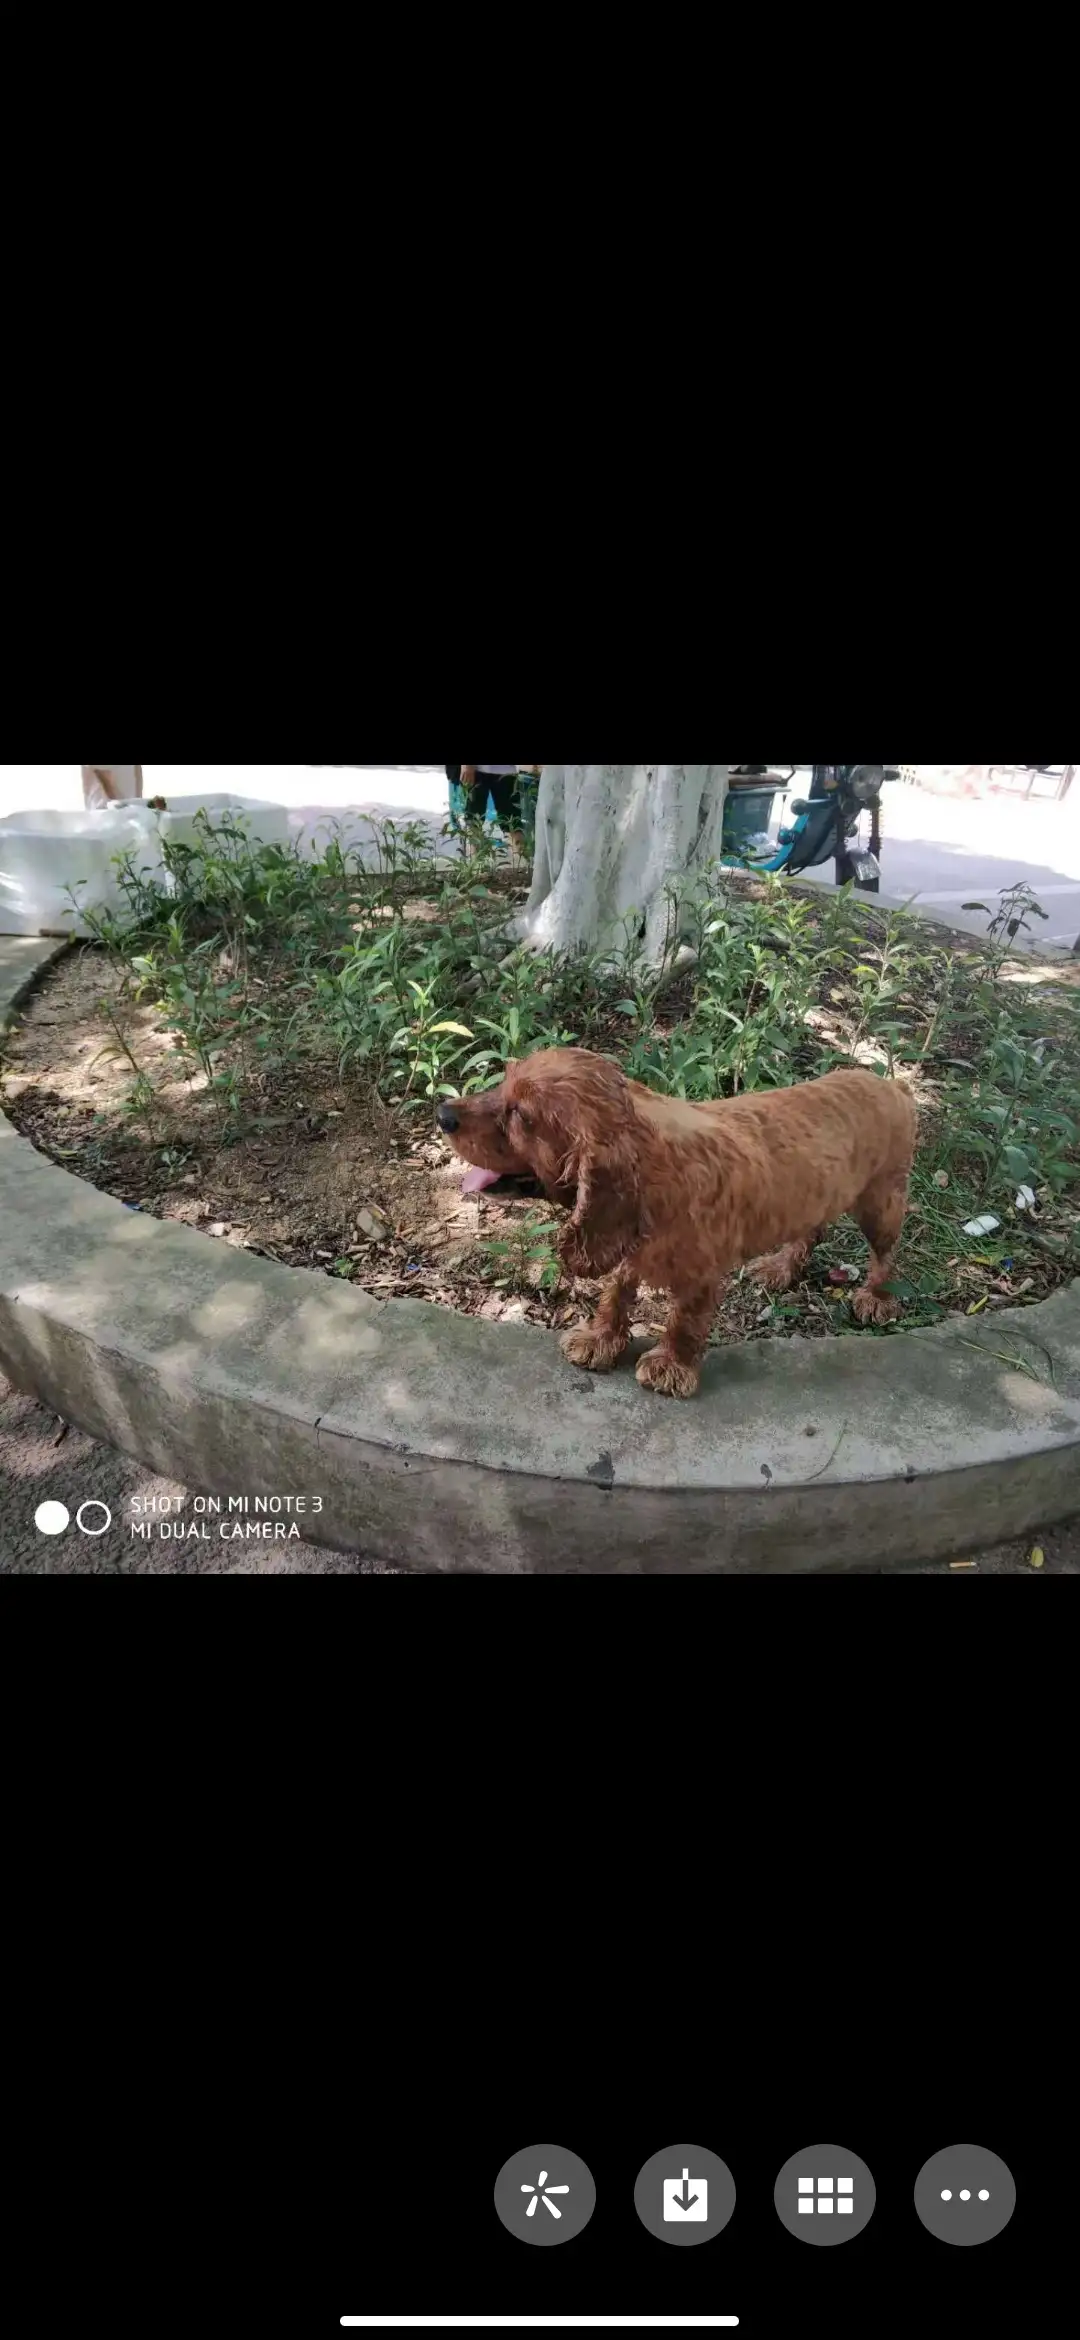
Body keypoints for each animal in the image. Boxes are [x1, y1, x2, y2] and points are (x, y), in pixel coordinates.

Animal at [439, 1053, 921, 1394]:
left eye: (522, 1114)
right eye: (503, 1082)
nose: (442, 1115)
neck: (653, 1163)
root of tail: (894, 1085)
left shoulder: (700, 1275)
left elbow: (684, 1320)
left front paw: (671, 1366)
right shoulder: (628, 1249)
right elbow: (616, 1295)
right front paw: (599, 1339)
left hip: (880, 1202)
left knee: (886, 1254)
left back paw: (876, 1297)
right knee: (813, 1229)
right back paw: (781, 1267)